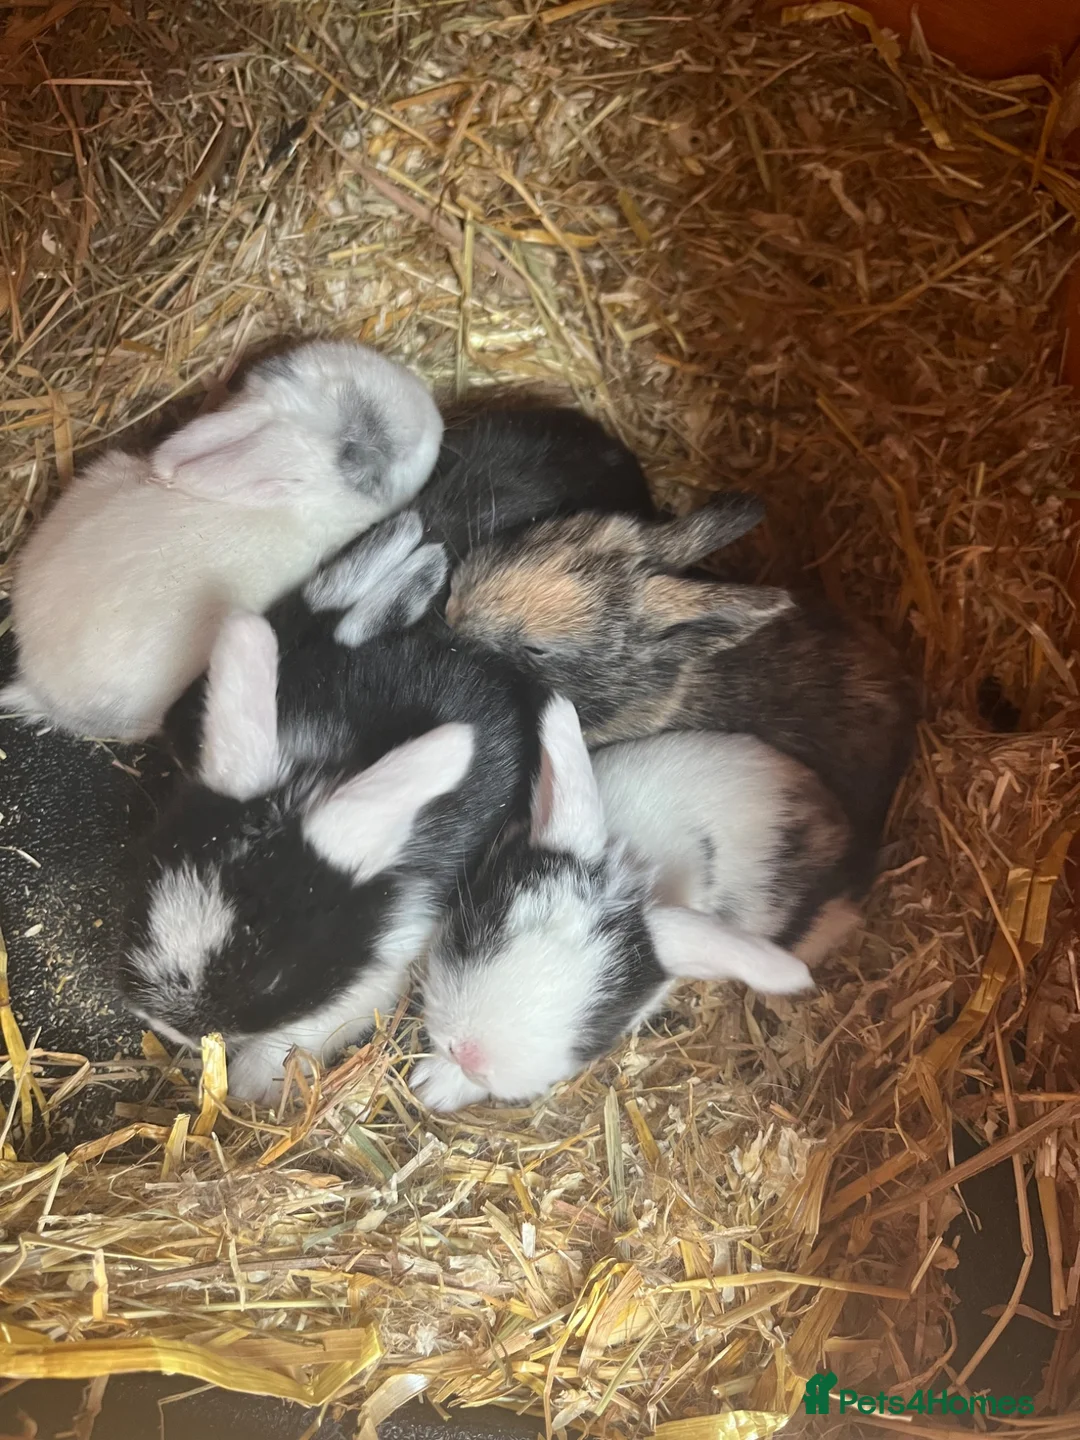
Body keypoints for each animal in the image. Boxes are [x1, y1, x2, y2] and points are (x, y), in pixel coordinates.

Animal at [412, 695, 835, 1113]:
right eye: (474, 931)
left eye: (599, 1021)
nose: (469, 1054)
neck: (634, 859)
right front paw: (428, 1085)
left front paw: (436, 1087)